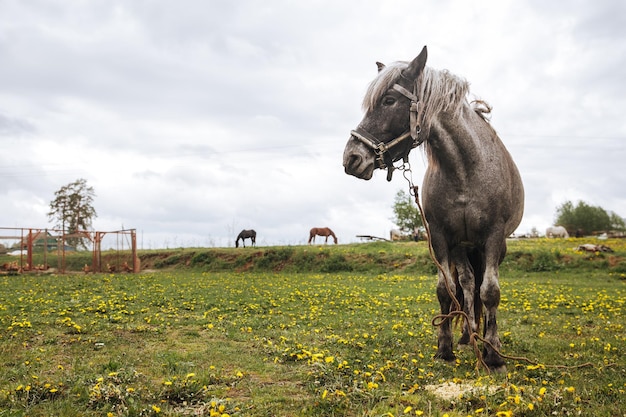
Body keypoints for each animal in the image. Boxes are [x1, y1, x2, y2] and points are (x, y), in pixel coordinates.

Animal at [342, 45, 520, 370]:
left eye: (388, 100)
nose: (352, 158)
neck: (465, 170)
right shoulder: (440, 237)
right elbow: (445, 290)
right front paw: (445, 347)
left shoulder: (493, 237)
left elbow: (490, 292)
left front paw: (494, 354)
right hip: (462, 246)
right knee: (467, 283)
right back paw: (468, 335)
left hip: (492, 246)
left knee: (479, 286)